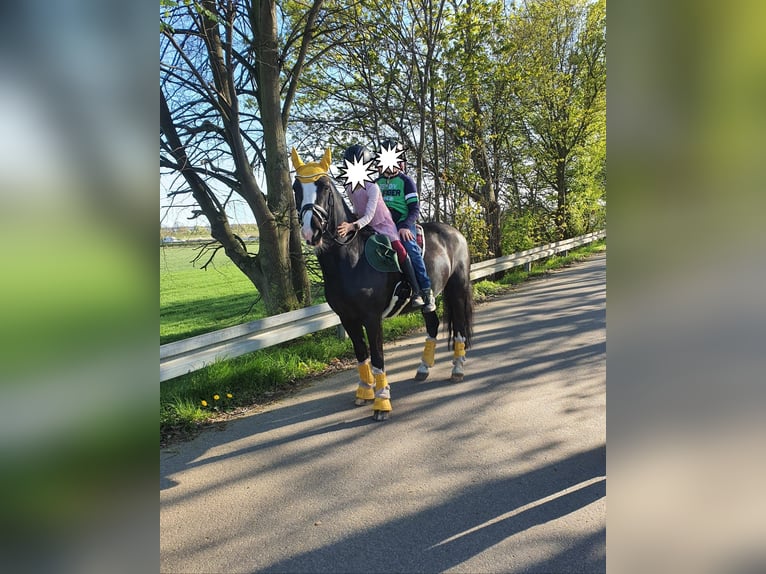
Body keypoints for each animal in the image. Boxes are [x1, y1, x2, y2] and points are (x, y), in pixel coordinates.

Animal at [294, 148, 474, 424]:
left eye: (323, 186)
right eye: (295, 187)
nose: (309, 230)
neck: (352, 259)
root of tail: (454, 232)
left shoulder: (371, 318)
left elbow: (378, 357)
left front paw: (381, 404)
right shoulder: (347, 318)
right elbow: (361, 355)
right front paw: (364, 393)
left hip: (457, 289)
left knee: (461, 326)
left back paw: (457, 368)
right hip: (431, 299)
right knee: (433, 325)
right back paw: (423, 368)